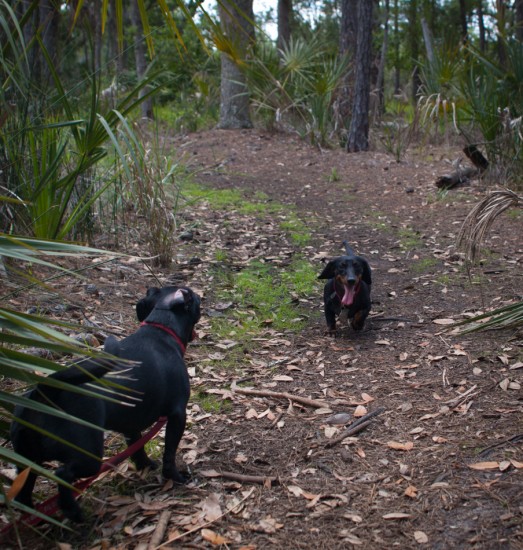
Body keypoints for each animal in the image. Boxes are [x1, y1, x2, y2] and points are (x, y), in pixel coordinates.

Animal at [11, 286, 203, 524]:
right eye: (194, 297)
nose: (200, 297)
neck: (160, 328)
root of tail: (46, 391)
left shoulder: (131, 423)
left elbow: (136, 448)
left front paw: (145, 465)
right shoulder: (177, 414)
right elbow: (169, 453)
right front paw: (176, 477)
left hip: (26, 461)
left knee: (24, 493)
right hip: (88, 455)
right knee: (62, 475)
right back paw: (74, 513)